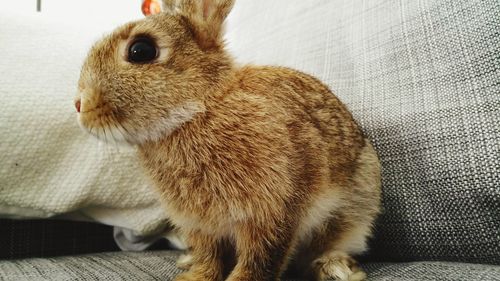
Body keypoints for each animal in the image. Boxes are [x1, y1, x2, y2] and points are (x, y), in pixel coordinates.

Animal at [74, 0, 380, 280]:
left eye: (141, 50)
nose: (79, 104)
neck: (199, 107)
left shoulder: (273, 211)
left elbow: (261, 258)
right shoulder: (202, 225)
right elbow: (209, 256)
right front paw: (194, 277)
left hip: (349, 216)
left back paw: (336, 269)